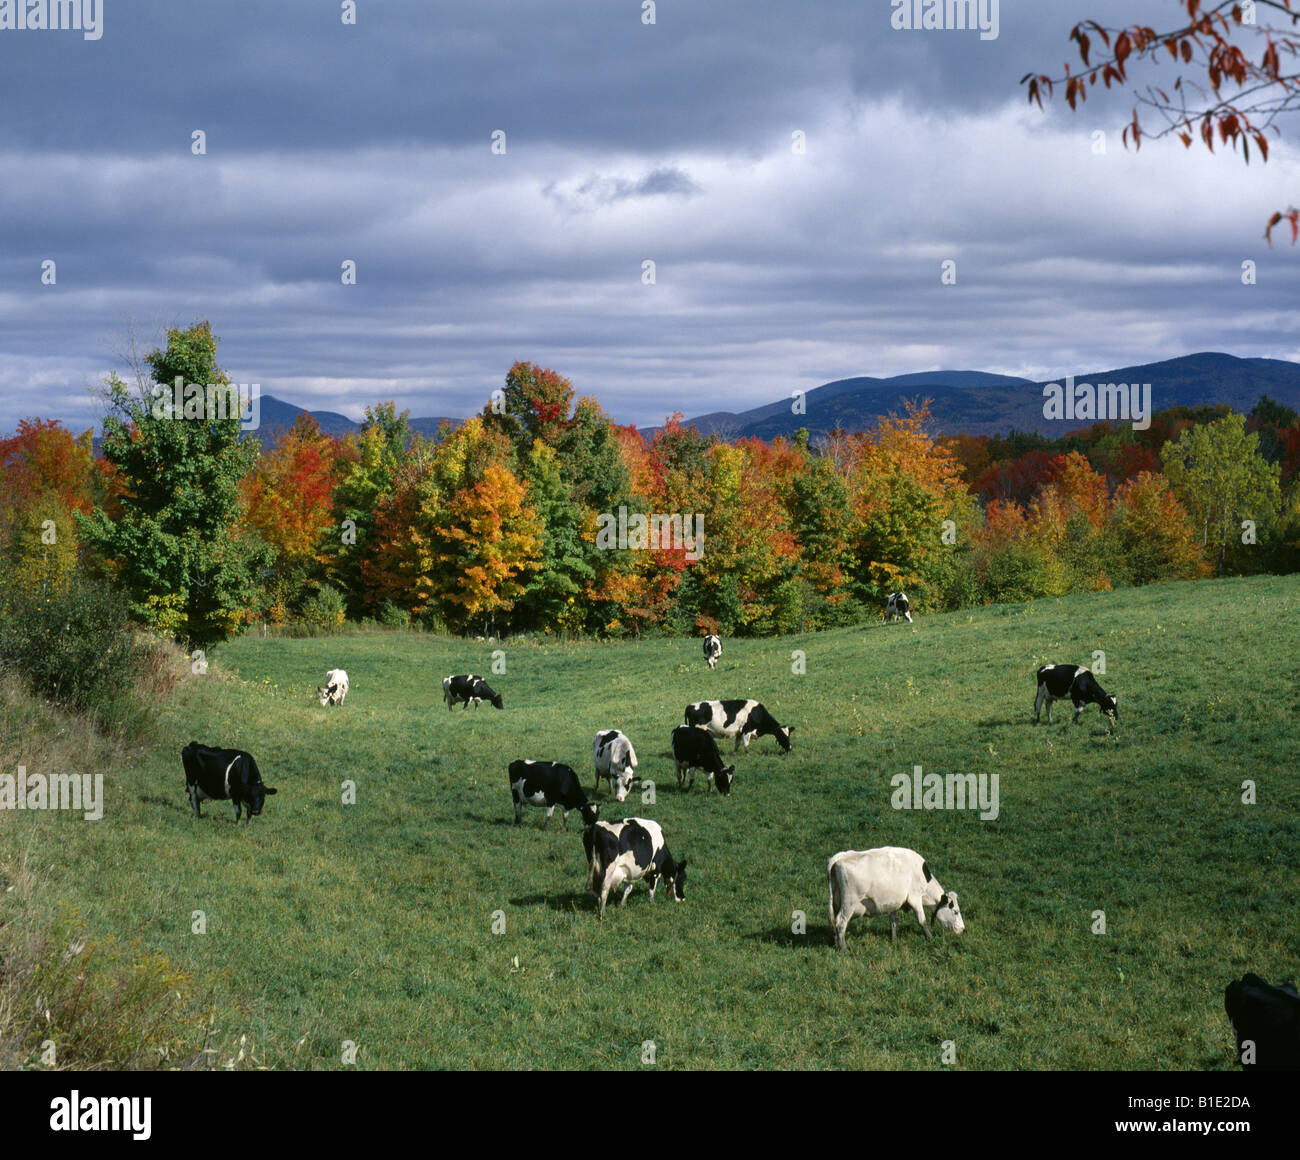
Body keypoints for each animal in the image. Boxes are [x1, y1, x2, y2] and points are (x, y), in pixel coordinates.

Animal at [826, 842, 961, 951]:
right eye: (956, 912)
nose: (963, 929)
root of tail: (841, 857)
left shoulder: (894, 902)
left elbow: (893, 921)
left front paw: (894, 940)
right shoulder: (915, 897)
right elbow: (922, 920)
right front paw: (930, 938)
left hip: (837, 902)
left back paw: (836, 943)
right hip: (849, 902)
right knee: (841, 922)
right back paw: (844, 948)